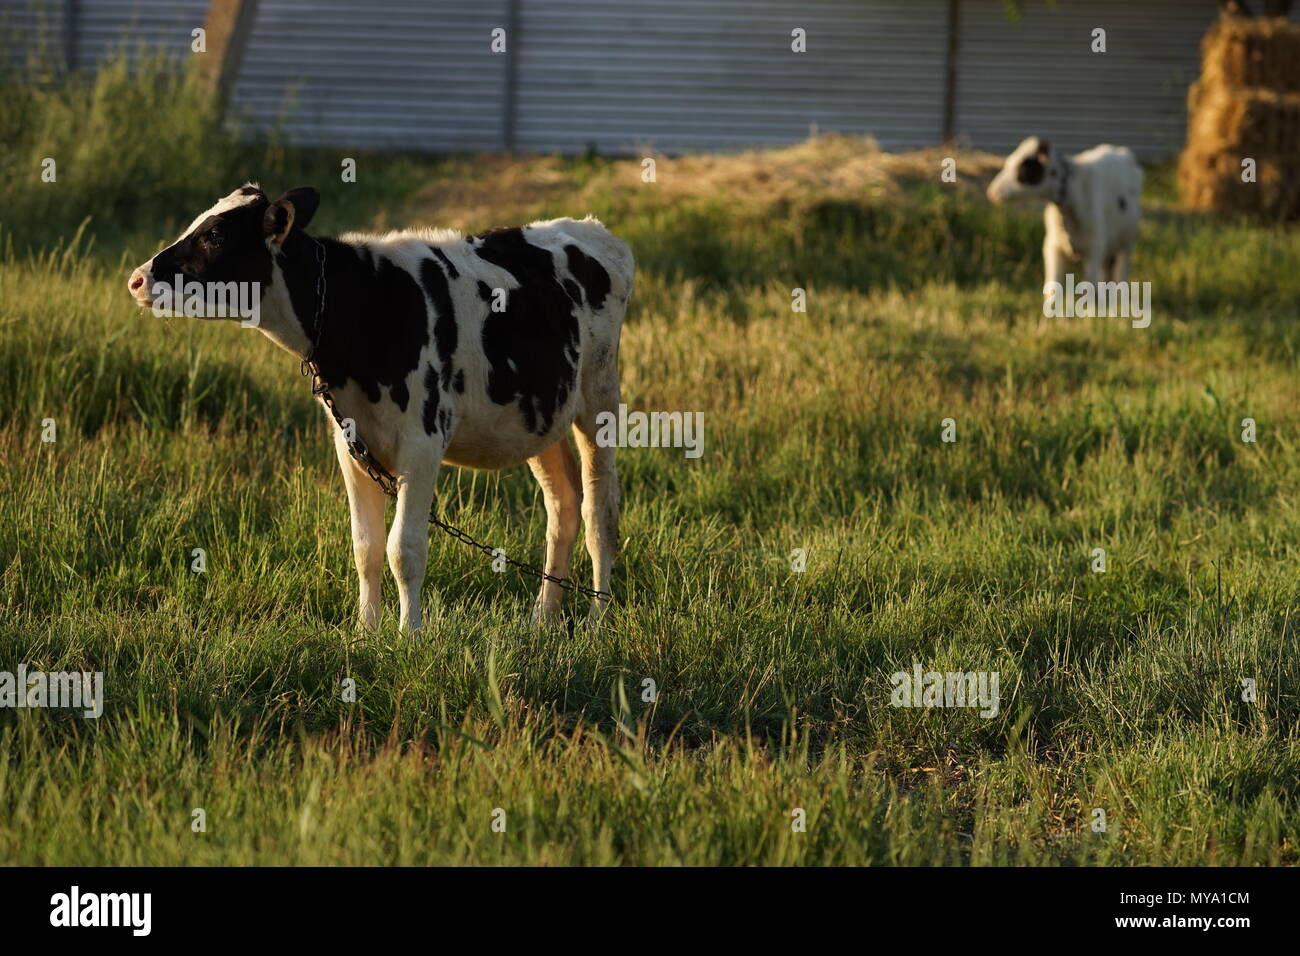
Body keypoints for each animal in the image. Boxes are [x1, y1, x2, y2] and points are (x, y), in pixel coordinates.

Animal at [127, 184, 633, 637]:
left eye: (215, 235)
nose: (136, 279)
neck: (364, 306)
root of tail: (590, 229)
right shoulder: (351, 444)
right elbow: (366, 546)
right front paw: (365, 632)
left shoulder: (423, 442)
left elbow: (403, 549)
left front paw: (410, 637)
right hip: (540, 417)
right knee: (563, 507)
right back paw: (543, 619)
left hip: (599, 399)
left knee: (600, 511)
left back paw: (597, 622)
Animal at [986, 138, 1143, 292]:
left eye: (1024, 167)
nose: (991, 192)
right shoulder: (1052, 246)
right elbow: (1053, 285)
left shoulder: (1094, 249)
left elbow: (1090, 287)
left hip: (1126, 245)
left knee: (1120, 275)